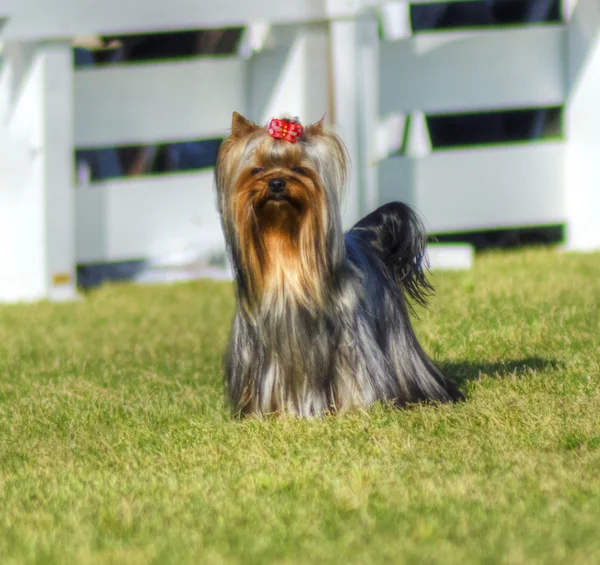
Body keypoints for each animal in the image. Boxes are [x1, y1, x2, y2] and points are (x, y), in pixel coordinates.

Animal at [216, 112, 464, 416]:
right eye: (257, 170)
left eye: (298, 169)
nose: (276, 183)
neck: (284, 250)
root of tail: (364, 234)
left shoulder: (349, 341)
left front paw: (355, 408)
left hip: (396, 336)